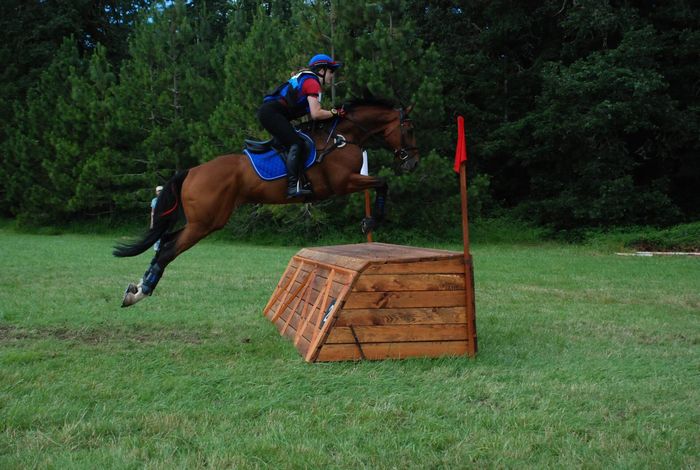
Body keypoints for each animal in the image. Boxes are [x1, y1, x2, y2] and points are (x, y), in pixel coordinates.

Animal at [114, 98, 419, 307]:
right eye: (410, 129)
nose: (413, 162)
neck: (343, 137)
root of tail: (192, 171)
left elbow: (381, 183)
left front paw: (370, 221)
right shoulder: (343, 182)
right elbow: (382, 183)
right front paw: (371, 221)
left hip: (204, 221)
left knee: (165, 241)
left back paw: (137, 288)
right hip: (206, 222)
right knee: (168, 249)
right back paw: (141, 293)